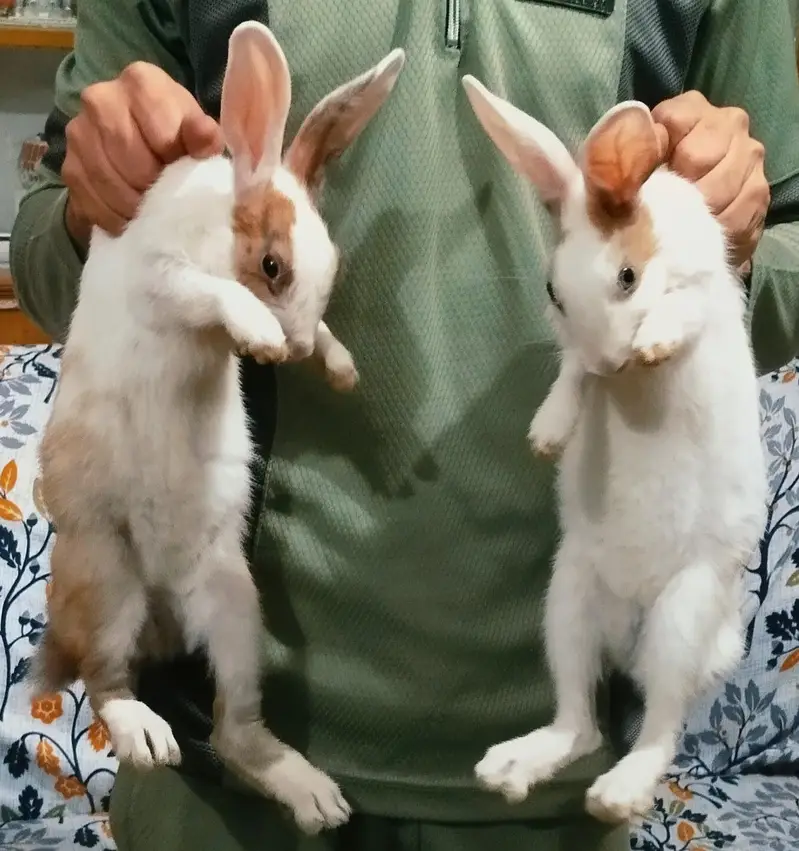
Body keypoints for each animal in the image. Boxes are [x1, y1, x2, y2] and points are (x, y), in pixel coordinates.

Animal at [32, 21, 405, 835]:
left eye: (331, 269)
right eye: (271, 264)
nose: (288, 352)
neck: (213, 221)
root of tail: (165, 613)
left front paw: (338, 367)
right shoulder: (163, 277)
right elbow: (206, 292)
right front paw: (260, 335)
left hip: (235, 607)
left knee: (234, 732)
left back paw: (315, 796)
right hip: (106, 581)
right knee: (105, 683)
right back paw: (149, 735)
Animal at [462, 76, 767, 825]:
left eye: (627, 277)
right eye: (551, 290)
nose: (613, 360)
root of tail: (631, 628)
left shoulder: (702, 289)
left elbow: (680, 314)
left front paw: (653, 342)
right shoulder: (576, 350)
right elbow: (571, 372)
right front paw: (548, 433)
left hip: (680, 619)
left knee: (657, 730)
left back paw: (615, 794)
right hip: (567, 603)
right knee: (580, 721)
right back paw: (510, 767)